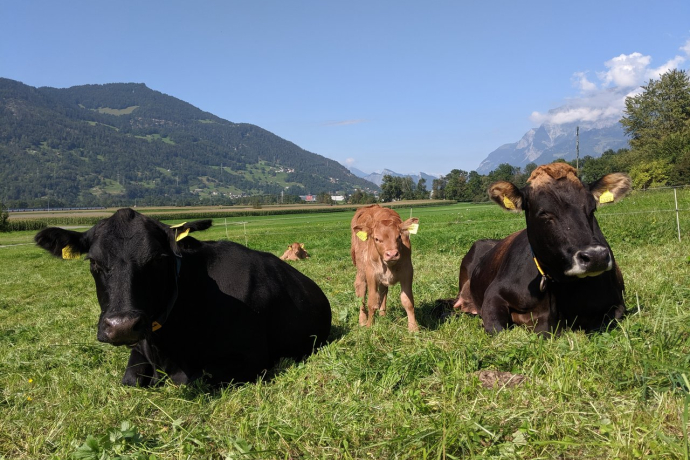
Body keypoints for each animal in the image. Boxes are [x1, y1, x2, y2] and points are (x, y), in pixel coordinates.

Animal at [34, 208, 332, 387]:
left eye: (158, 258)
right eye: (94, 262)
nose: (122, 326)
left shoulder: (250, 357)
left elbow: (192, 378)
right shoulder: (138, 347)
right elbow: (130, 378)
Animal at [458, 163, 631, 334]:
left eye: (592, 208)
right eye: (544, 213)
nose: (596, 257)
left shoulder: (617, 304)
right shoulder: (494, 294)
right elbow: (498, 330)